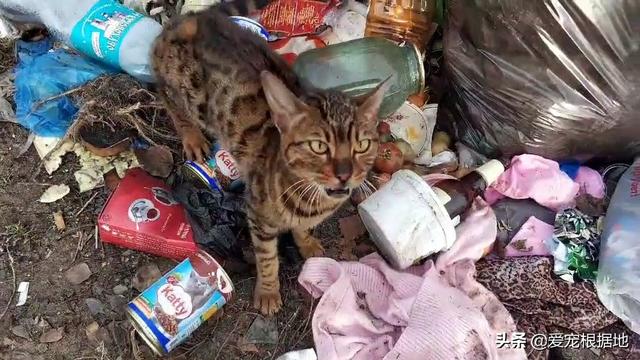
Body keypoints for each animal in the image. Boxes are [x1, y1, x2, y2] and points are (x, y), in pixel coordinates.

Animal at [152, 0, 388, 316]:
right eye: (318, 146)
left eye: (361, 145)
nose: (344, 174)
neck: (312, 200)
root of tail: (192, 18)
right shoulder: (258, 216)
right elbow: (267, 259)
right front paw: (267, 292)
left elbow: (302, 229)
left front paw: (306, 243)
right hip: (187, 92)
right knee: (166, 94)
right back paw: (192, 136)